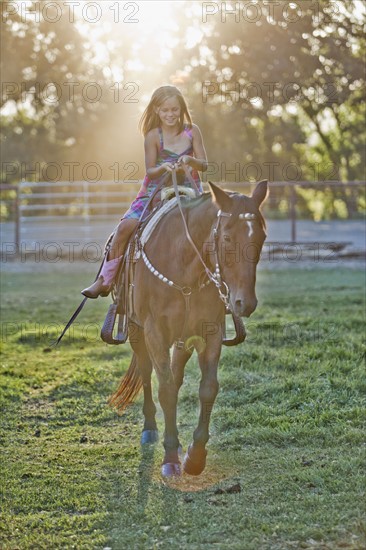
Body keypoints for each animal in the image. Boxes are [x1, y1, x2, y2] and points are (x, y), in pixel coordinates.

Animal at [108, 181, 268, 478]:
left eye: (262, 237)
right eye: (226, 238)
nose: (245, 302)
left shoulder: (209, 331)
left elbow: (208, 388)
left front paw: (195, 456)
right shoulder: (155, 333)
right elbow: (166, 390)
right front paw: (170, 456)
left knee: (176, 373)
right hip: (137, 330)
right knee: (147, 372)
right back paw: (150, 428)